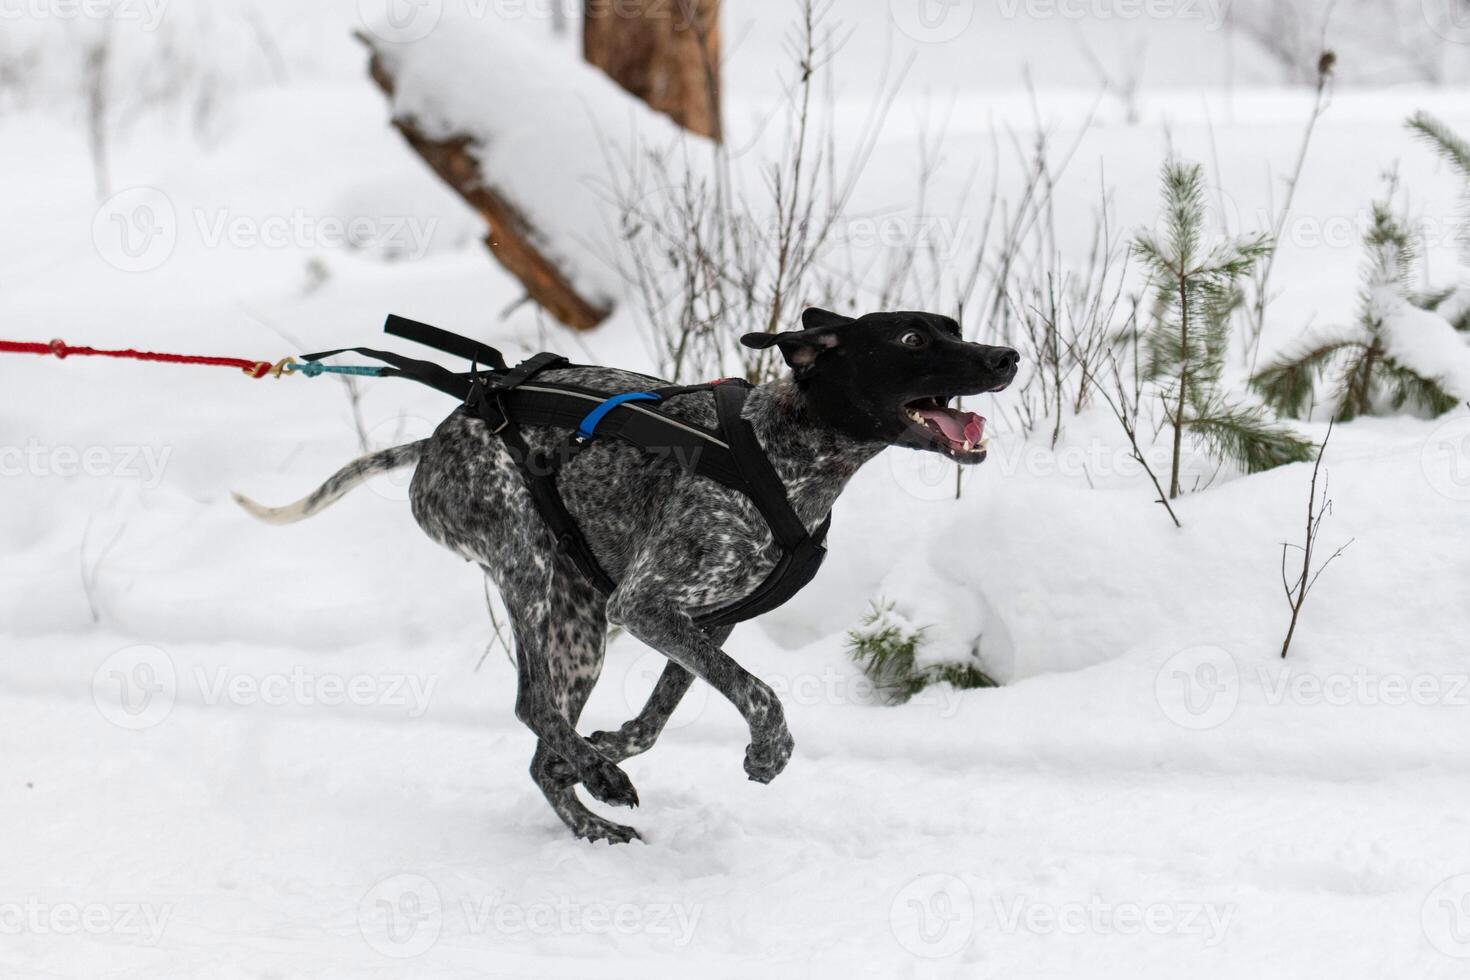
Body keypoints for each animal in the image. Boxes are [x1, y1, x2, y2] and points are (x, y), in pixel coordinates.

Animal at [238, 308, 1023, 846]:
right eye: (913, 341)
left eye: (954, 327)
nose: (1008, 355)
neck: (784, 455)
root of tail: (439, 438)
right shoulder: (645, 604)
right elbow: (762, 694)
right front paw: (767, 752)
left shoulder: (704, 622)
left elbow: (655, 719)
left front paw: (609, 746)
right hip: (553, 594)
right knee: (532, 707)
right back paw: (597, 788)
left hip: (581, 610)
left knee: (541, 743)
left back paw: (587, 797)